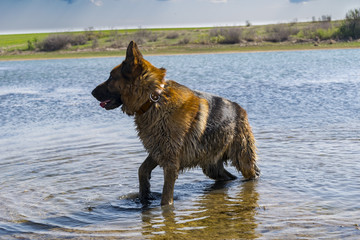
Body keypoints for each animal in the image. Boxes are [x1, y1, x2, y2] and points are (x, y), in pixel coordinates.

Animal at [90, 40, 258, 204]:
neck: (154, 99)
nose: (91, 92)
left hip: (243, 160)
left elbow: (166, 197)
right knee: (228, 177)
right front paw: (145, 194)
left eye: (111, 77)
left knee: (252, 174)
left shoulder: (170, 161)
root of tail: (241, 110)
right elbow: (142, 170)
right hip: (211, 167)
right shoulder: (158, 149)